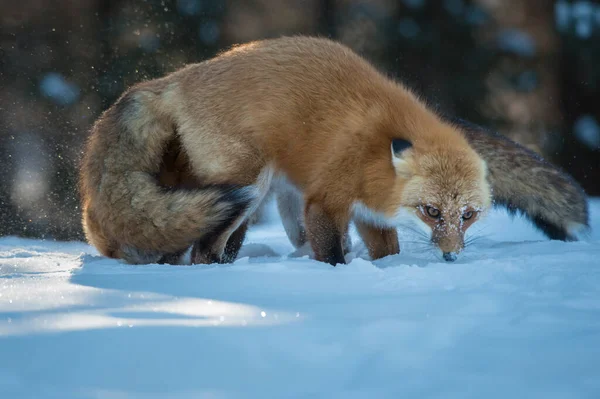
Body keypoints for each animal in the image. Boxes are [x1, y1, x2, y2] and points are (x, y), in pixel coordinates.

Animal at [77, 36, 588, 266]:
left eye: (467, 215)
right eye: (431, 211)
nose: (450, 256)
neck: (377, 154)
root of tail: (172, 79)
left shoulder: (370, 215)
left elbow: (386, 250)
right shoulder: (326, 201)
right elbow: (334, 253)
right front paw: (338, 276)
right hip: (247, 184)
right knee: (207, 245)